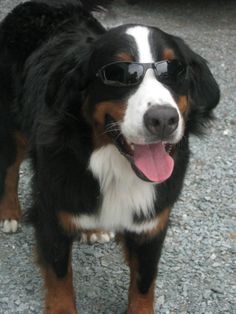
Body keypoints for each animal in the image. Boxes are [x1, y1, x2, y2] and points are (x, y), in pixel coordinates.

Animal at [0, 0, 219, 312]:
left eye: (175, 70)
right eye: (119, 74)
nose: (163, 119)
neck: (115, 166)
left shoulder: (153, 220)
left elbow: (144, 283)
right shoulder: (52, 210)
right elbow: (59, 276)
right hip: (12, 125)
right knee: (9, 169)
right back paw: (9, 214)